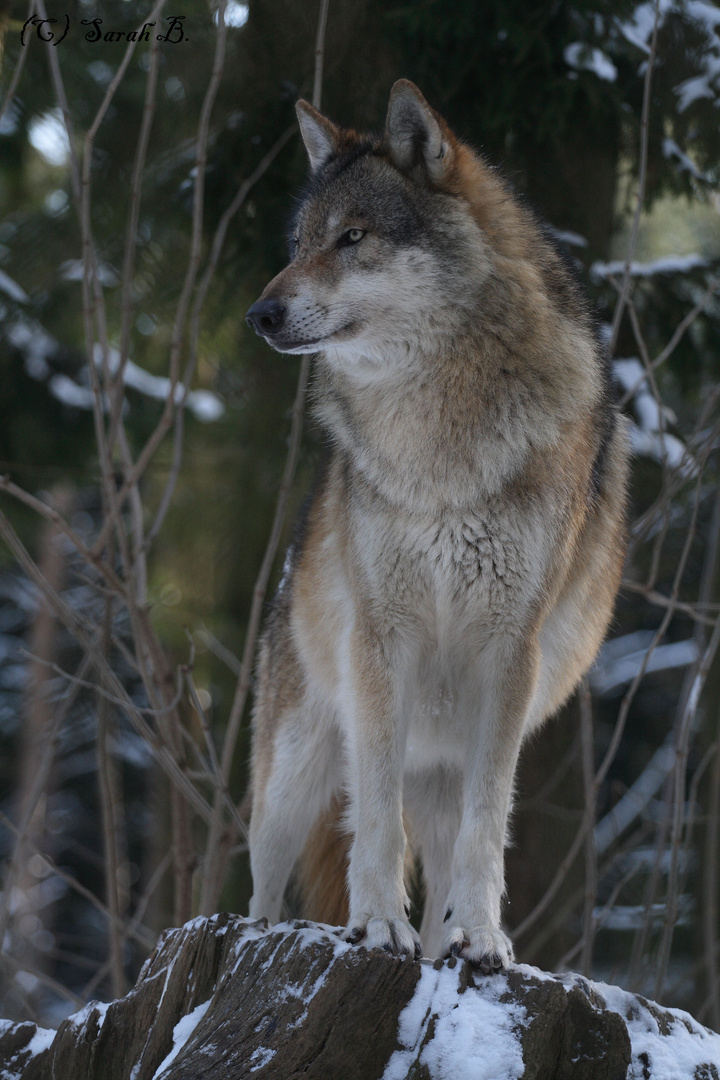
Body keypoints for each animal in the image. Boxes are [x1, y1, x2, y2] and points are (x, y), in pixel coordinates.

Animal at [245, 79, 626, 967]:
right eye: (302, 242)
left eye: (353, 238)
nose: (260, 314)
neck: (437, 443)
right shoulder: (384, 641)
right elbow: (375, 819)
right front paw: (374, 922)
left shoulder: (509, 654)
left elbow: (489, 830)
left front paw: (482, 938)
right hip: (294, 772)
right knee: (260, 886)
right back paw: (268, 934)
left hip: (441, 766)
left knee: (446, 860)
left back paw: (439, 947)